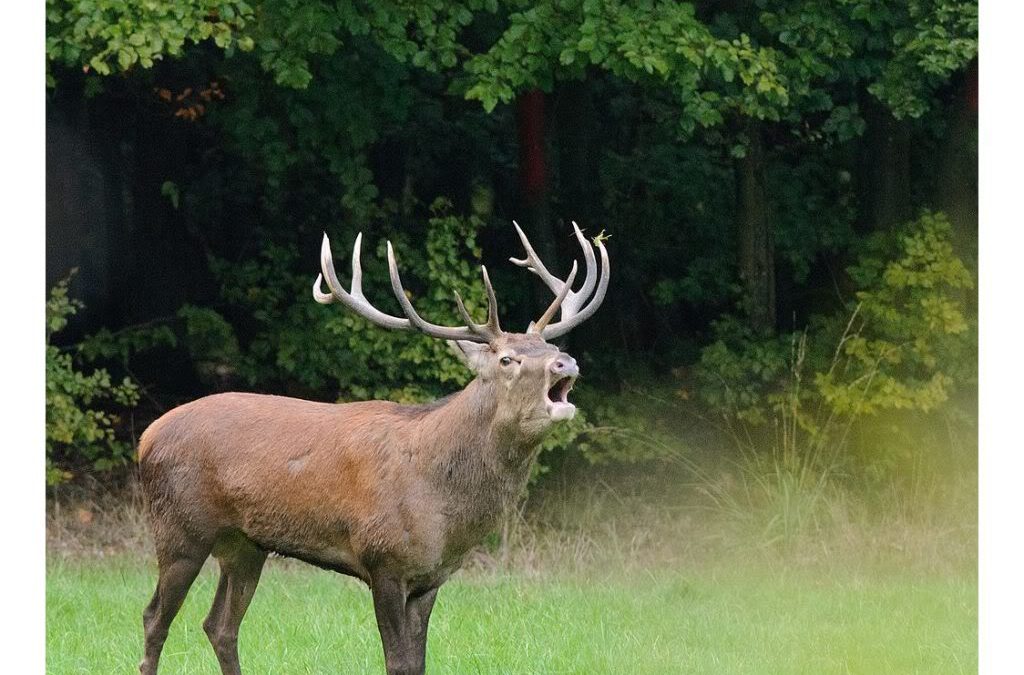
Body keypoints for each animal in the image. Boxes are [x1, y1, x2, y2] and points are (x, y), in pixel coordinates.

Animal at [134, 223, 606, 675]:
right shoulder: (383, 558)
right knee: (155, 618)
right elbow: (397, 661)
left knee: (219, 625)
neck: (442, 503)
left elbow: (418, 662)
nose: (566, 363)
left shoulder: (431, 577)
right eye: (507, 359)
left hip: (244, 544)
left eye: (552, 347)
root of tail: (146, 437)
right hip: (180, 527)